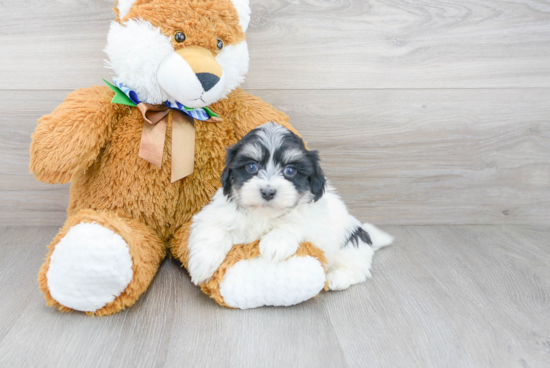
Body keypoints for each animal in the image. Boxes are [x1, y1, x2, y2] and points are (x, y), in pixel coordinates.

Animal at [188, 123, 394, 290]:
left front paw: (275, 243)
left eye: (290, 170)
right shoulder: (214, 213)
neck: (265, 215)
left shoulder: (317, 222)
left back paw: (338, 278)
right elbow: (213, 231)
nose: (268, 192)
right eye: (252, 166)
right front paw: (201, 266)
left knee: (357, 267)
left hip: (351, 243)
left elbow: (296, 223)